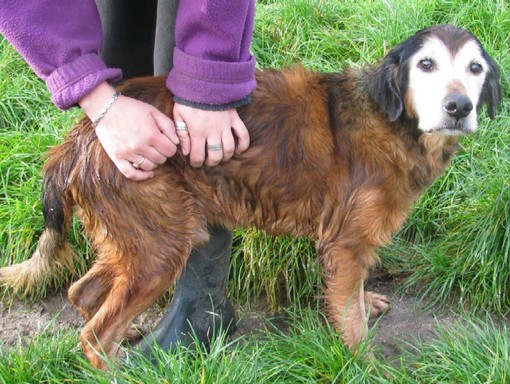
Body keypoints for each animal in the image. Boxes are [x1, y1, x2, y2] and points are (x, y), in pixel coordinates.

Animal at [0, 24, 502, 368]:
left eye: (475, 68)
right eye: (426, 65)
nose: (459, 107)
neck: (389, 116)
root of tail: (81, 136)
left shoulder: (354, 243)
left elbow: (354, 298)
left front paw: (367, 302)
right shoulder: (343, 243)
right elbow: (352, 323)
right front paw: (367, 366)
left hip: (143, 237)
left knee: (82, 292)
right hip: (160, 247)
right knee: (92, 335)